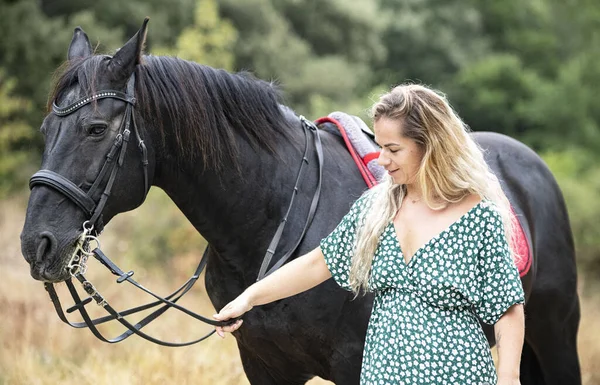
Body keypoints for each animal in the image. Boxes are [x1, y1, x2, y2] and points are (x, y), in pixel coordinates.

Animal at [19, 20, 580, 384]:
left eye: (96, 129)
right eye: (47, 129)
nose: (35, 244)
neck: (272, 224)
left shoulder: (355, 366)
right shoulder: (265, 366)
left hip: (554, 334)